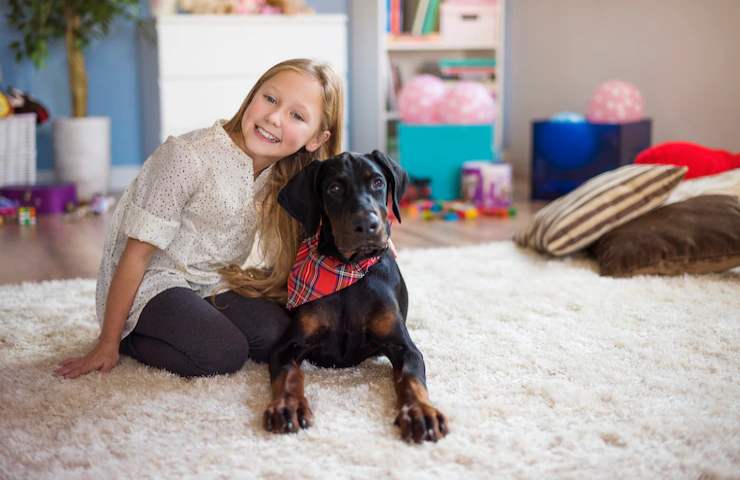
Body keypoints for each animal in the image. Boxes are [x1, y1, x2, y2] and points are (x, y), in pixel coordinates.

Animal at [266, 149, 450, 442]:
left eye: (377, 182)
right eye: (334, 188)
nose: (367, 224)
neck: (350, 269)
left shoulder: (404, 347)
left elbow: (412, 378)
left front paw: (421, 411)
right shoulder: (287, 346)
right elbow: (289, 375)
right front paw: (288, 406)